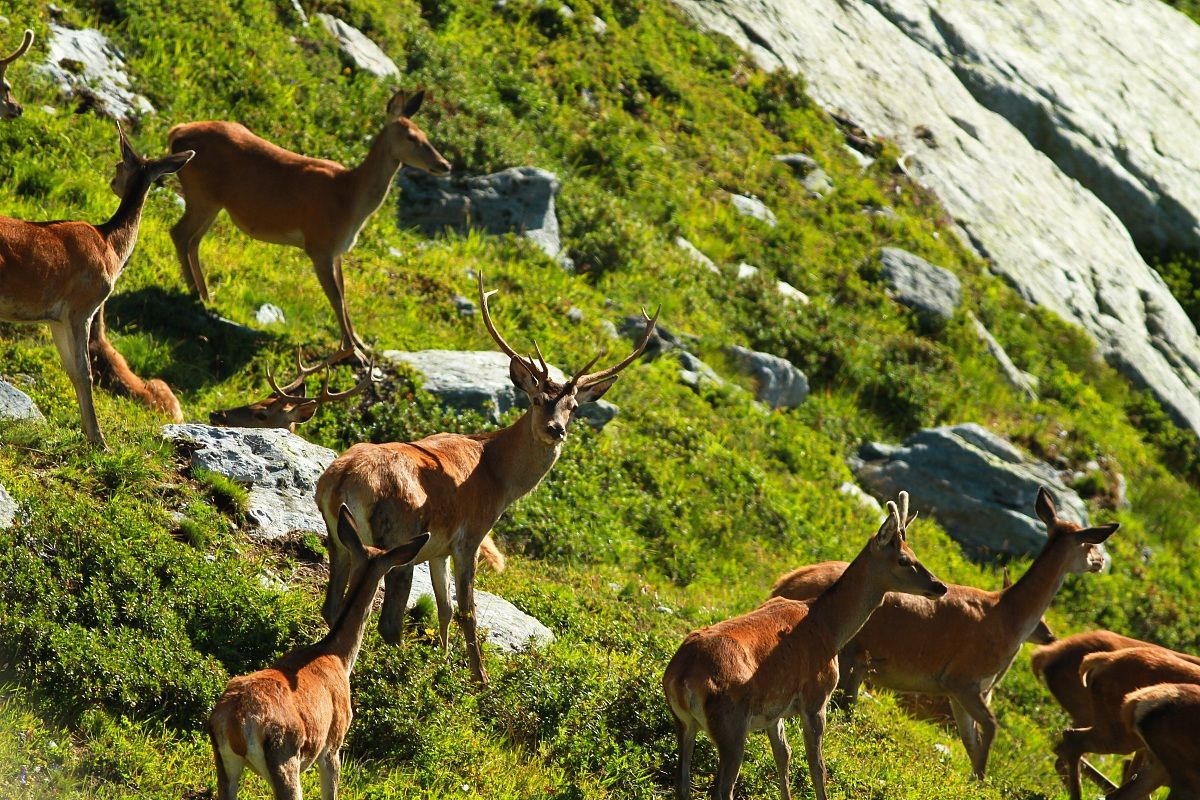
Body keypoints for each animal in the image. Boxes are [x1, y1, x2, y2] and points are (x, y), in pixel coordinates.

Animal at [0, 126, 193, 447]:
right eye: (119, 164)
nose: (112, 182)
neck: (110, 246)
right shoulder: (81, 307)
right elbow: (84, 373)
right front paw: (98, 440)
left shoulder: (56, 318)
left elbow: (70, 370)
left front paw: (87, 432)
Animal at [167, 89, 451, 364]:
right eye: (412, 137)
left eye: (426, 134)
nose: (445, 164)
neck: (350, 199)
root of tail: (177, 132)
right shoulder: (319, 244)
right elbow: (335, 297)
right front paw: (353, 352)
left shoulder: (337, 251)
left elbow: (344, 294)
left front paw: (361, 342)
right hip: (202, 194)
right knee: (179, 233)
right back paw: (195, 295)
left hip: (212, 202)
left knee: (193, 240)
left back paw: (205, 296)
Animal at [316, 273, 658, 684]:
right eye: (536, 399)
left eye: (573, 406)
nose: (556, 429)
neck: (498, 477)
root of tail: (340, 481)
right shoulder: (471, 535)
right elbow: (468, 609)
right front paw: (479, 679)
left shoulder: (438, 548)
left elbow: (444, 606)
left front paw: (445, 660)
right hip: (397, 537)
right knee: (388, 622)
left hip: (342, 539)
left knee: (332, 605)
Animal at [662, 492, 948, 800]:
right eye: (904, 560)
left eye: (915, 554)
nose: (940, 586)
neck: (828, 627)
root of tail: (681, 676)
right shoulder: (816, 696)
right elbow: (817, 767)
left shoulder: (773, 710)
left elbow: (783, 755)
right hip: (731, 725)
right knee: (722, 790)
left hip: (684, 723)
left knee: (682, 784)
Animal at [770, 486, 1118, 780]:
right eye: (1090, 542)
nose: (1100, 561)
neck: (1007, 616)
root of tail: (782, 583)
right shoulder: (962, 678)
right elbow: (989, 729)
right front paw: (980, 780)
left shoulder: (957, 690)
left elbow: (971, 740)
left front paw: (974, 778)